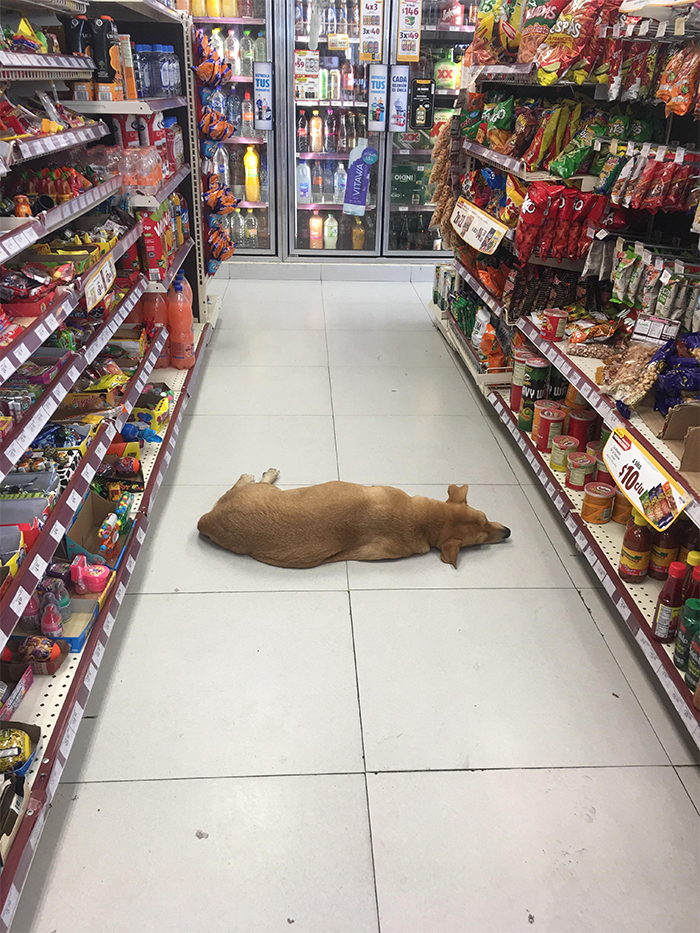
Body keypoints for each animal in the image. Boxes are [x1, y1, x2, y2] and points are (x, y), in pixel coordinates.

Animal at [196, 470, 508, 572]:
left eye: (486, 519)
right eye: (480, 541)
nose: (507, 531)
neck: (424, 520)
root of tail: (207, 521)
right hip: (259, 491)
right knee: (247, 481)